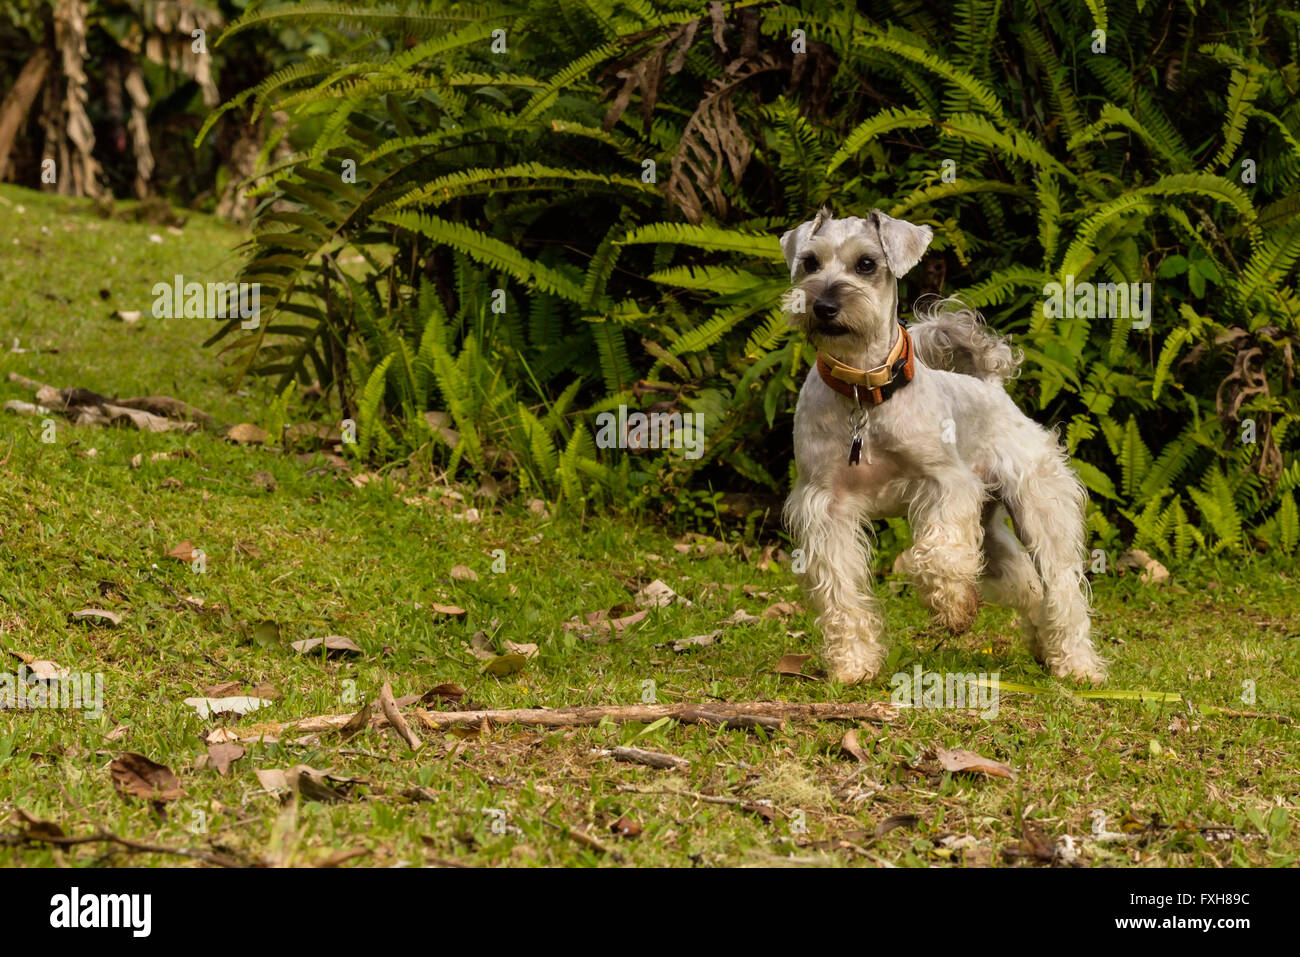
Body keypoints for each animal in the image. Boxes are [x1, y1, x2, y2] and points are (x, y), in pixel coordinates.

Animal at [780, 209, 1107, 686]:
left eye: (866, 264)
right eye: (809, 262)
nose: (823, 306)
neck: (863, 390)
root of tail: (990, 385)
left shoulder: (946, 484)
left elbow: (938, 555)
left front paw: (952, 607)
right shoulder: (826, 506)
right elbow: (841, 592)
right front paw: (853, 663)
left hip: (1039, 508)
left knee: (1061, 585)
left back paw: (1075, 664)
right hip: (991, 535)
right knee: (1027, 584)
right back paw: (1042, 643)